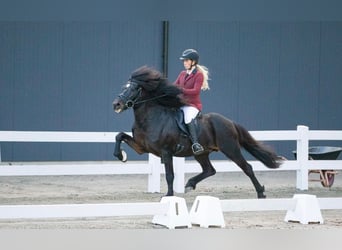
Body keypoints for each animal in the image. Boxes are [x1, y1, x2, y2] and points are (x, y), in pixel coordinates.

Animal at [112, 65, 280, 198]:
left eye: (134, 89)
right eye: (123, 87)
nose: (116, 104)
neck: (150, 118)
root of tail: (229, 122)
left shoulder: (166, 152)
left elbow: (170, 175)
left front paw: (169, 195)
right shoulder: (142, 147)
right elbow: (119, 135)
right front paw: (121, 156)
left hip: (230, 148)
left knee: (247, 168)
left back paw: (261, 193)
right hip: (201, 153)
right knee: (210, 170)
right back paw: (190, 184)